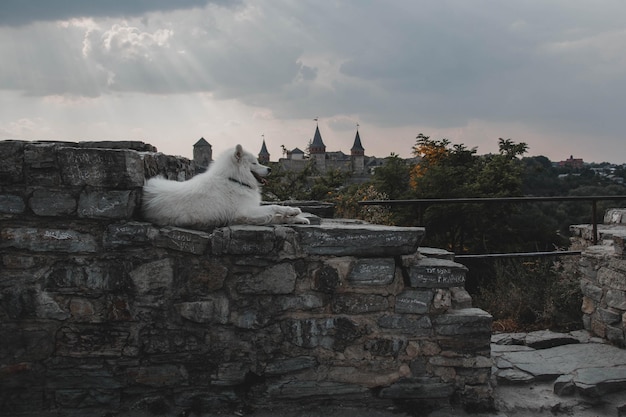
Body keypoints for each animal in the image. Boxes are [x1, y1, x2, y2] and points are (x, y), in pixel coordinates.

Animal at [140, 144, 308, 228]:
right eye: (254, 163)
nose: (270, 169)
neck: (234, 180)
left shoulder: (246, 214)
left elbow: (275, 216)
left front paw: (297, 219)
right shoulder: (244, 212)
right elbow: (274, 207)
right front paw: (293, 210)